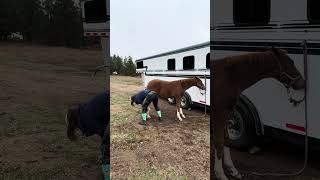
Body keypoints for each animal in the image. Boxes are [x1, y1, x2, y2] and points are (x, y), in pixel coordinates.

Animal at [211, 48, 306, 180]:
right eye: (290, 63)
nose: (302, 83)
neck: (229, 77)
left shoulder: (227, 113)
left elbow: (226, 139)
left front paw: (232, 169)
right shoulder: (219, 112)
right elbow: (219, 141)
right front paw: (220, 174)